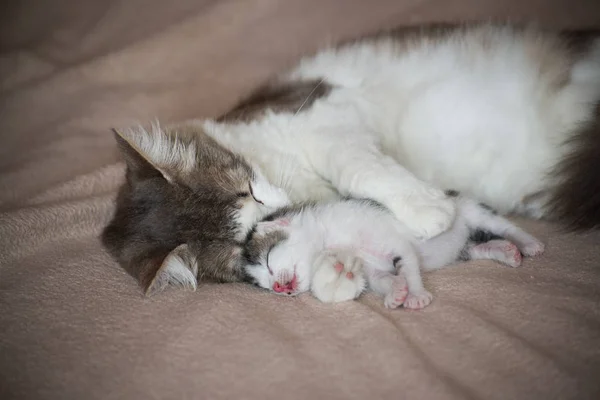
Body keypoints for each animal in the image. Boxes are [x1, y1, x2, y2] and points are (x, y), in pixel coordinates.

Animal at [102, 23, 600, 296]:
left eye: (249, 191)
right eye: (243, 245)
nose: (272, 211)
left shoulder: (322, 112)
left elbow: (356, 165)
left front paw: (430, 213)